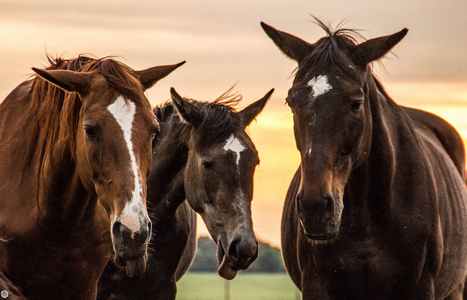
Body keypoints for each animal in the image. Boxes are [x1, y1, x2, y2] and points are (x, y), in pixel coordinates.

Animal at [262, 19, 467, 298]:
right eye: (291, 102)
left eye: (356, 103)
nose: (315, 207)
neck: (366, 222)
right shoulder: (316, 285)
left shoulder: (422, 286)